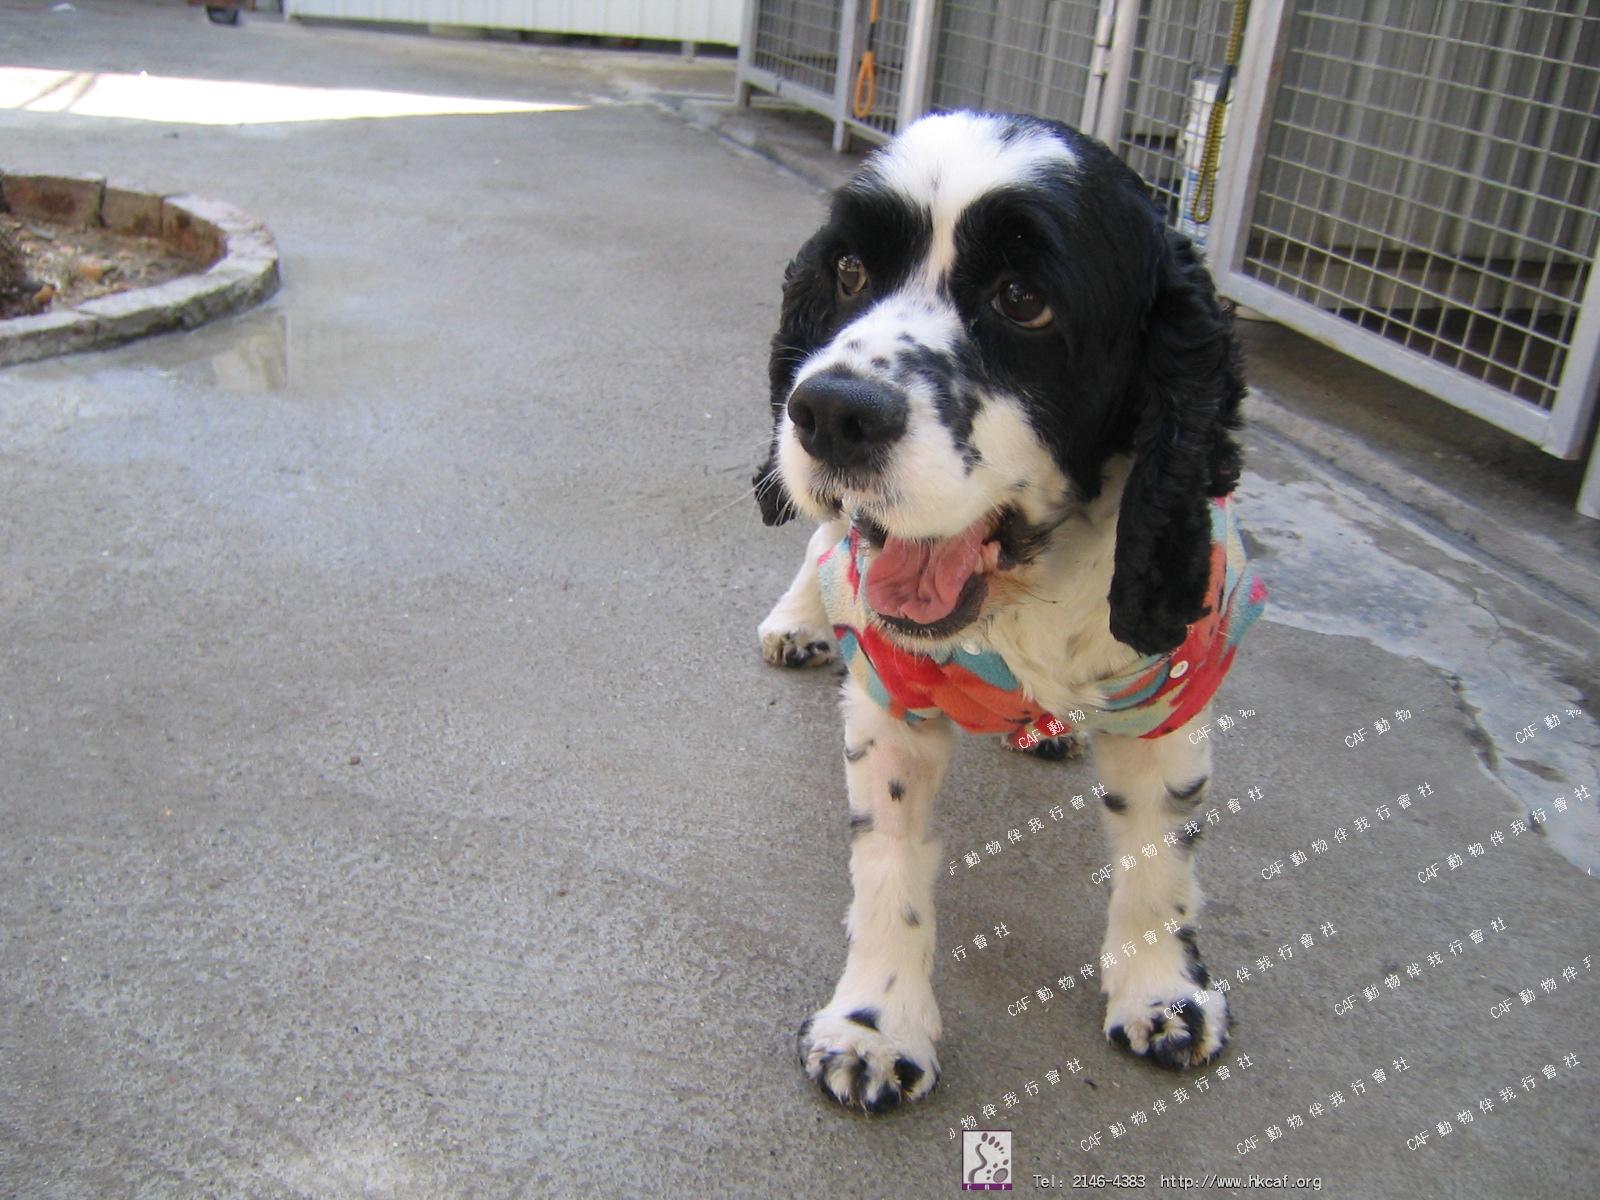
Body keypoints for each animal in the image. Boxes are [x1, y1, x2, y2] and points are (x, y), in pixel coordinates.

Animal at [748, 115, 1260, 1120]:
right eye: (850, 271)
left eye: (1023, 299)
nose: (830, 411)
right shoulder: (892, 694)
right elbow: (889, 865)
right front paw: (874, 1027)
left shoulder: (1171, 690)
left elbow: (1160, 858)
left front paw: (1163, 993)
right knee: (825, 539)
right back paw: (799, 617)